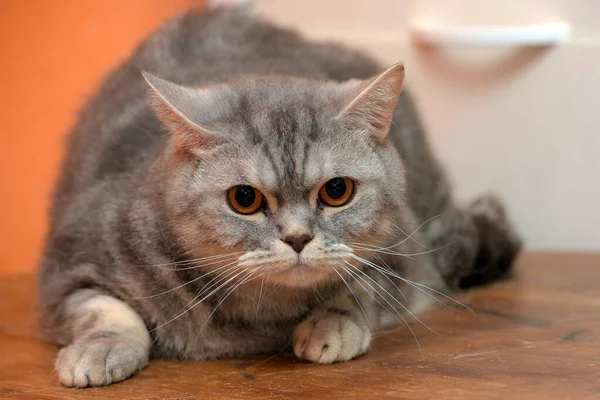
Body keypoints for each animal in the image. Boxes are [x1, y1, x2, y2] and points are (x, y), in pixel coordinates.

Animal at [38, 5, 520, 388]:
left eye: (337, 191)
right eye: (244, 199)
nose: (298, 238)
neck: (261, 315)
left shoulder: (401, 255)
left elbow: (357, 289)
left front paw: (330, 324)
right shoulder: (66, 270)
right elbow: (105, 311)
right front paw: (100, 349)